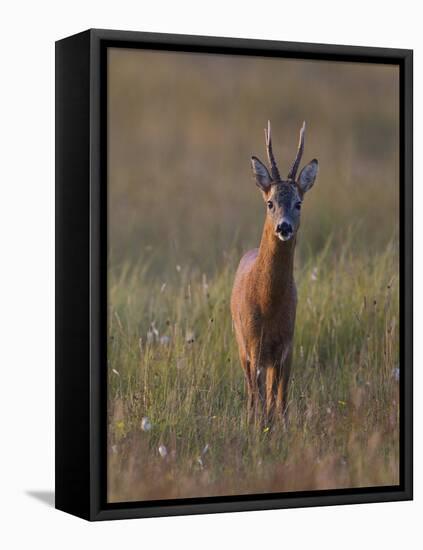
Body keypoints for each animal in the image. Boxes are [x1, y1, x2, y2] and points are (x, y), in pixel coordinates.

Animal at [232, 122, 318, 426]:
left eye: (299, 203)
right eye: (270, 202)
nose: (284, 227)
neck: (268, 303)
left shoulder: (286, 344)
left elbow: (279, 400)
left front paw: (280, 427)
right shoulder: (253, 343)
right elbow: (260, 398)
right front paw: (258, 428)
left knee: (272, 394)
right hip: (241, 345)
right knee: (252, 393)